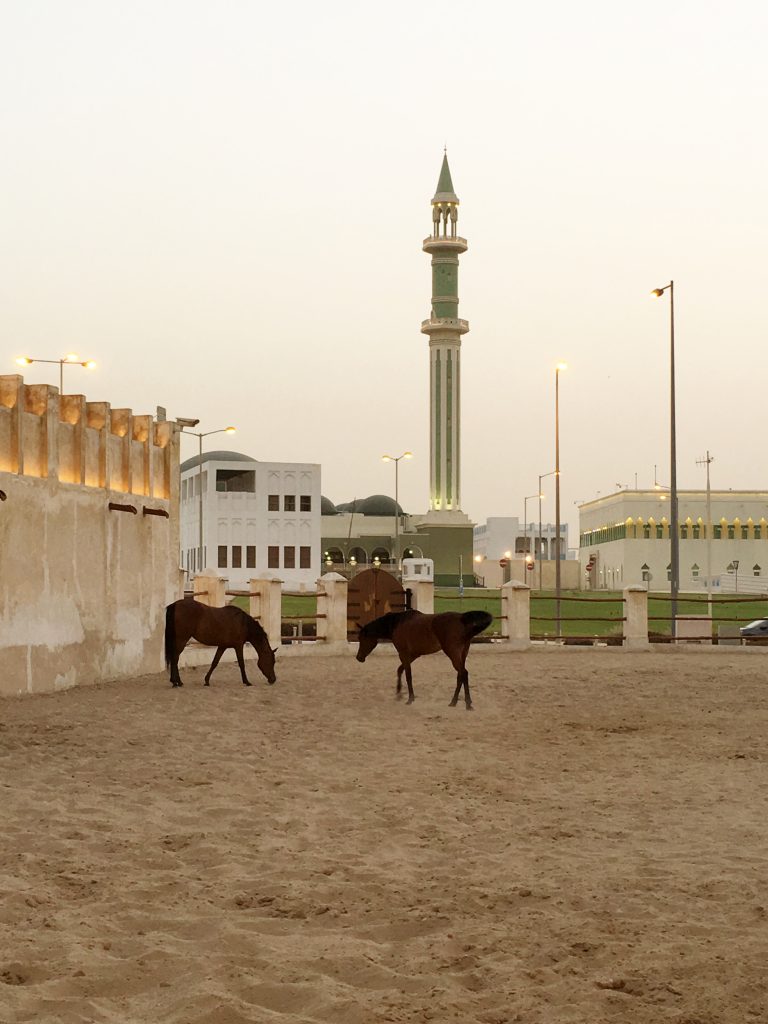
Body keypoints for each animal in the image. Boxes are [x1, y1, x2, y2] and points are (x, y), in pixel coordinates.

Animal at [356, 610, 493, 708]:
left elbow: (408, 675)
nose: (359, 658)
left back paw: (465, 703)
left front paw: (410, 699)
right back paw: (456, 702)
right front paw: (399, 694)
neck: (396, 624)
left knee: (463, 673)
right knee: (461, 675)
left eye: (362, 638)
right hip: (462, 654)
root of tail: (461, 619)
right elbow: (400, 670)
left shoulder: (404, 653)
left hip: (453, 653)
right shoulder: (413, 654)